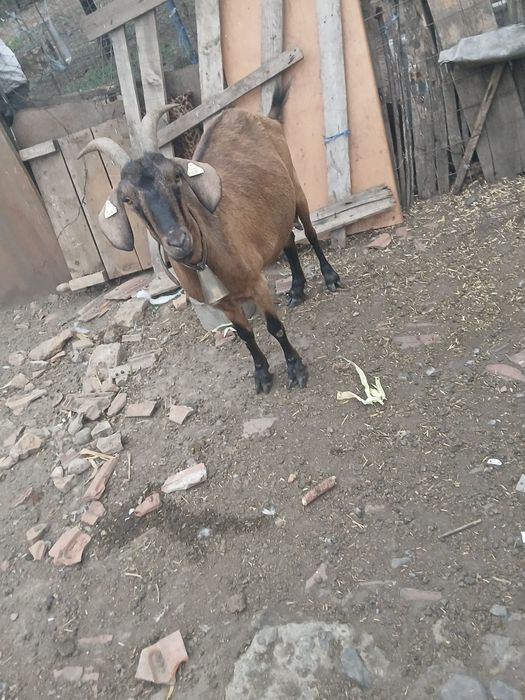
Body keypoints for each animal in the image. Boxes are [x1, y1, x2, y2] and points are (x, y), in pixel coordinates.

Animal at [78, 86, 341, 394]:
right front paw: (262, 375)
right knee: (286, 239)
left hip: (297, 189)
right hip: (276, 208)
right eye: (127, 199)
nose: (178, 241)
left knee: (310, 233)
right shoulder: (223, 303)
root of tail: (264, 117)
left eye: (176, 175)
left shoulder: (257, 283)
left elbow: (274, 328)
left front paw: (296, 370)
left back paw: (330, 278)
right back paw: (297, 290)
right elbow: (245, 335)